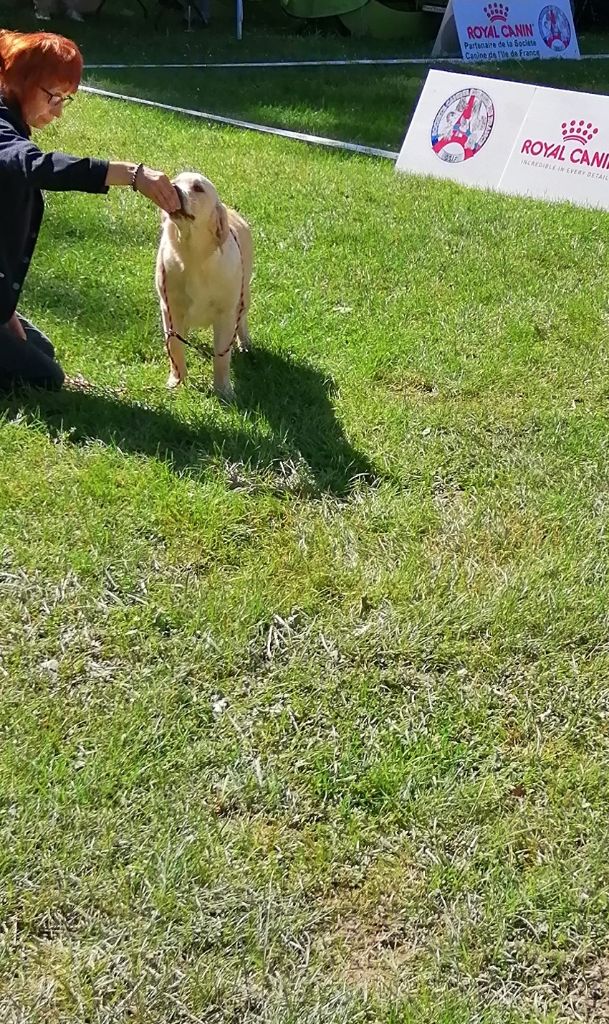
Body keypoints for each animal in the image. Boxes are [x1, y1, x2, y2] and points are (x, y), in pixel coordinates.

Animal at [157, 172, 254, 399]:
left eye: (198, 188)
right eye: (174, 181)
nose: (173, 189)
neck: (193, 257)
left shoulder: (225, 314)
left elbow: (222, 357)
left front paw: (223, 390)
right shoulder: (169, 308)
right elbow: (175, 346)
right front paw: (177, 381)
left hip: (244, 295)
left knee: (242, 319)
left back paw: (245, 344)